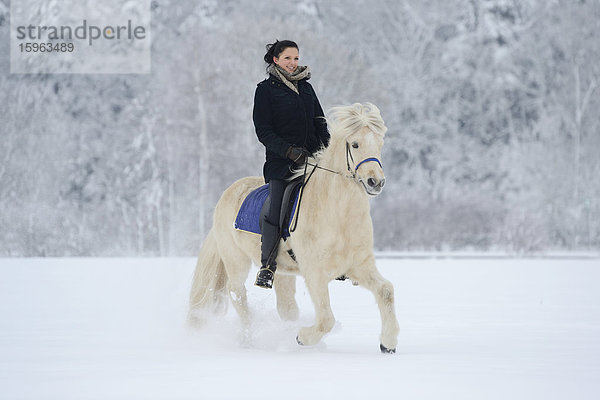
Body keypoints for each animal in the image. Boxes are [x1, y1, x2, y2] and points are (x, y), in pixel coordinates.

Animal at [190, 102, 400, 354]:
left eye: (380, 143)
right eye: (355, 143)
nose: (376, 182)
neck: (338, 216)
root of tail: (227, 193)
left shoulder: (360, 266)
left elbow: (386, 291)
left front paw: (388, 343)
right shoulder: (315, 272)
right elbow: (326, 319)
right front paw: (302, 337)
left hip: (281, 272)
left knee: (286, 307)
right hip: (236, 261)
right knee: (237, 294)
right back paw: (249, 341)